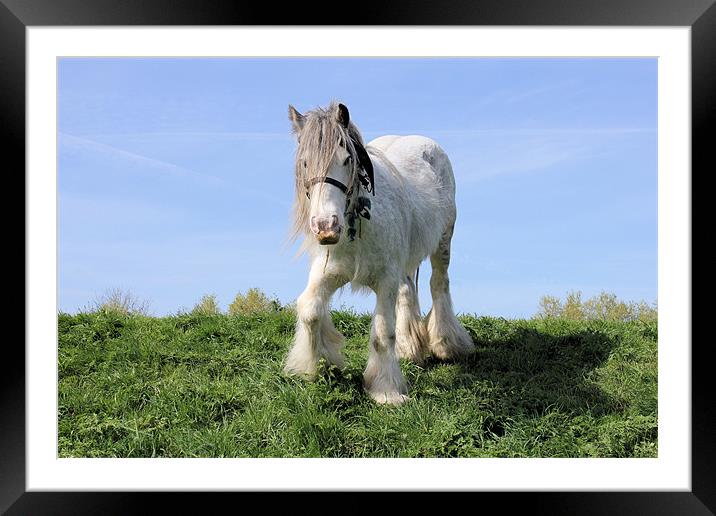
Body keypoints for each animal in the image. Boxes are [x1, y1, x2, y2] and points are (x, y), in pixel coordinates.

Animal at [282, 101, 472, 406]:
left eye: (347, 159)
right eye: (305, 163)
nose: (325, 227)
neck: (357, 221)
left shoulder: (385, 281)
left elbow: (382, 334)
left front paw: (385, 390)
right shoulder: (329, 273)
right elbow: (309, 310)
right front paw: (317, 365)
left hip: (444, 240)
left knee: (439, 283)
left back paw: (446, 343)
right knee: (408, 291)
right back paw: (409, 347)